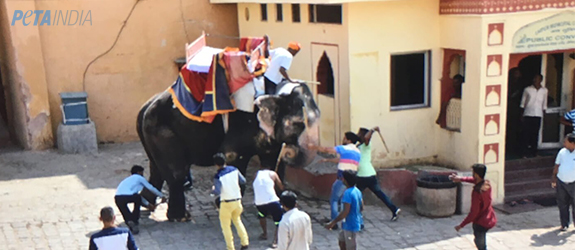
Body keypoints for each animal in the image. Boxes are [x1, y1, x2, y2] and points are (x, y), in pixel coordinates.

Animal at [137, 82, 322, 221]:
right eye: (299, 124)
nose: (290, 150)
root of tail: (145, 106)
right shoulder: (243, 124)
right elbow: (230, 157)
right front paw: (223, 204)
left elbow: (270, 163)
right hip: (163, 133)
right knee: (176, 172)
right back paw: (180, 217)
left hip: (152, 135)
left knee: (156, 170)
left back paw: (149, 204)